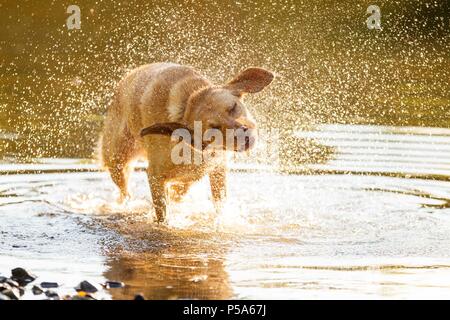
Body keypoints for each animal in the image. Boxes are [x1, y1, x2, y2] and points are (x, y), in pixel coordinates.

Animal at [100, 62, 272, 222]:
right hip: (118, 161)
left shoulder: (218, 169)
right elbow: (162, 214)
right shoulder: (155, 176)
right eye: (214, 127)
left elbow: (220, 203)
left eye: (233, 107)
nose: (245, 135)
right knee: (125, 193)